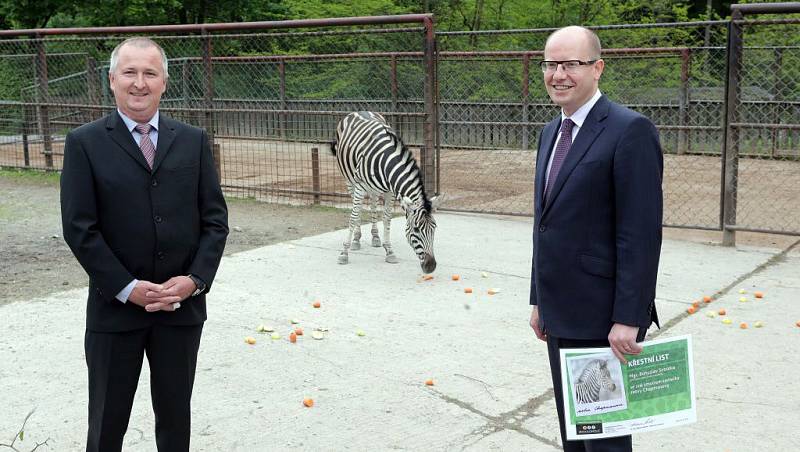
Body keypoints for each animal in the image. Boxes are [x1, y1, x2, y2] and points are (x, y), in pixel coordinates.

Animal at [332, 111, 440, 274]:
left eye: (434, 228)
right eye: (416, 230)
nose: (431, 266)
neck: (386, 160)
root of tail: (359, 111)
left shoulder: (390, 191)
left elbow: (387, 218)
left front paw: (389, 251)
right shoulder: (360, 185)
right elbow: (353, 217)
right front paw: (344, 254)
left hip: (375, 188)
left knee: (373, 205)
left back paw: (376, 237)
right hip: (349, 180)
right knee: (357, 210)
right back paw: (356, 239)